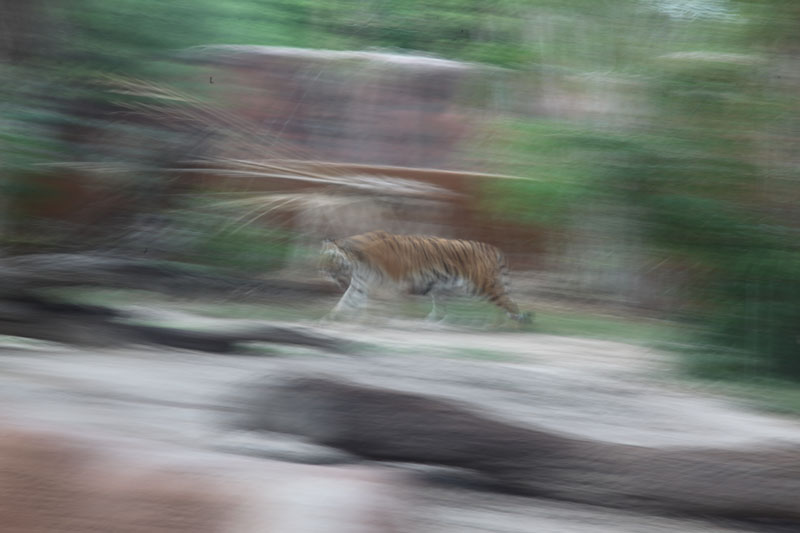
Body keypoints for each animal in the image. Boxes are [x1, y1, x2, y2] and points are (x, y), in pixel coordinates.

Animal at [319, 231, 532, 324]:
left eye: (331, 260)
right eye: (321, 263)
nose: (322, 271)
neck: (357, 262)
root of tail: (492, 248)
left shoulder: (390, 285)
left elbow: (384, 306)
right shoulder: (360, 286)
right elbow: (345, 302)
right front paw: (329, 318)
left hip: (482, 286)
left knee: (510, 303)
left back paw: (513, 324)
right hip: (441, 289)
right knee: (441, 310)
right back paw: (430, 322)